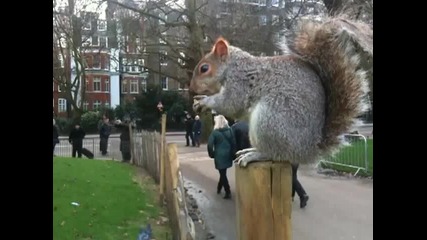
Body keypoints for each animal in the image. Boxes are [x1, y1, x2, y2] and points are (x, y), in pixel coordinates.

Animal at [192, 16, 372, 167]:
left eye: (204, 68)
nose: (192, 88)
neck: (231, 66)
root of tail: (308, 151)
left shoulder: (239, 81)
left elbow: (230, 103)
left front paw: (204, 102)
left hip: (270, 120)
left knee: (276, 154)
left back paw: (254, 155)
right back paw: (250, 150)